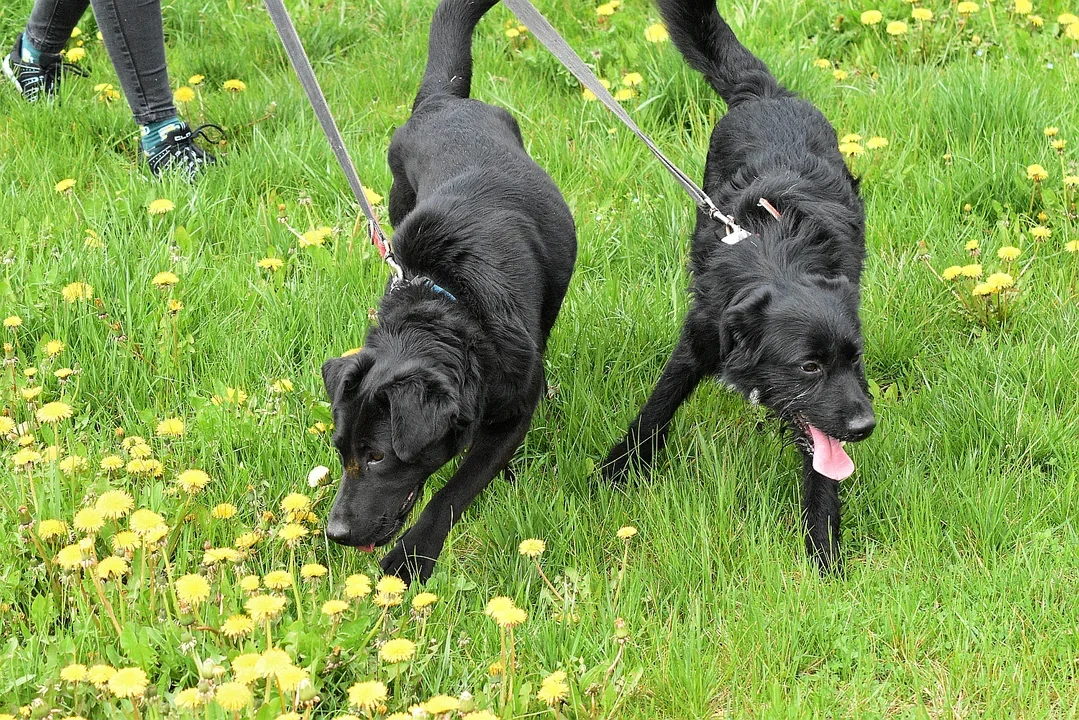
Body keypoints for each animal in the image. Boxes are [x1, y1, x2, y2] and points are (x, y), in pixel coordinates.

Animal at [317, 0, 578, 587]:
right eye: (340, 449)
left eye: (377, 457)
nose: (336, 534)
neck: (448, 302)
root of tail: (442, 101)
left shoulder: (513, 405)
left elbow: (455, 490)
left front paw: (412, 559)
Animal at [604, 0, 871, 574]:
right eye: (809, 366)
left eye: (854, 358)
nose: (865, 426)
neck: (778, 257)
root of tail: (764, 93)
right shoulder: (702, 333)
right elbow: (657, 409)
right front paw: (612, 475)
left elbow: (822, 466)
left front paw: (824, 553)